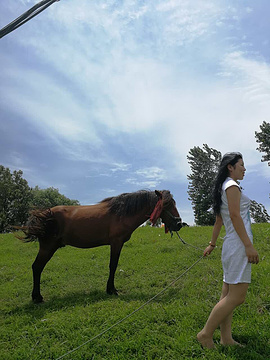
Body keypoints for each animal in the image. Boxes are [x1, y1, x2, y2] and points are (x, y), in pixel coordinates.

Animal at [20, 190, 182, 302]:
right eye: (166, 204)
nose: (179, 224)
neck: (121, 213)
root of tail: (44, 214)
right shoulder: (116, 243)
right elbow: (113, 265)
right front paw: (111, 290)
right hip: (47, 248)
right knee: (37, 267)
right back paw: (37, 297)